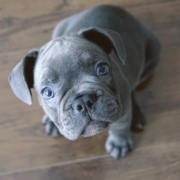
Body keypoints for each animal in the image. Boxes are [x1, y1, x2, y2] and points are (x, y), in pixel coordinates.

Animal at [8, 4, 160, 159]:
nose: (83, 100)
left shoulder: (122, 108)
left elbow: (120, 125)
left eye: (102, 69)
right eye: (48, 92)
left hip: (152, 57)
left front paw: (119, 143)